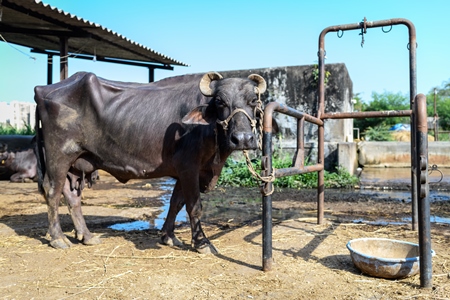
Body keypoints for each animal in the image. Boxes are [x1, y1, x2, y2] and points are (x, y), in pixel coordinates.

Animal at [36, 72, 268, 253]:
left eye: (253, 101)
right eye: (220, 101)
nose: (243, 139)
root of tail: (43, 90)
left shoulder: (184, 171)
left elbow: (176, 203)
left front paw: (168, 236)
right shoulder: (189, 168)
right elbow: (194, 206)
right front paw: (202, 243)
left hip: (76, 161)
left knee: (71, 195)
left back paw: (87, 236)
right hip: (59, 156)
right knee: (52, 191)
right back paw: (58, 238)